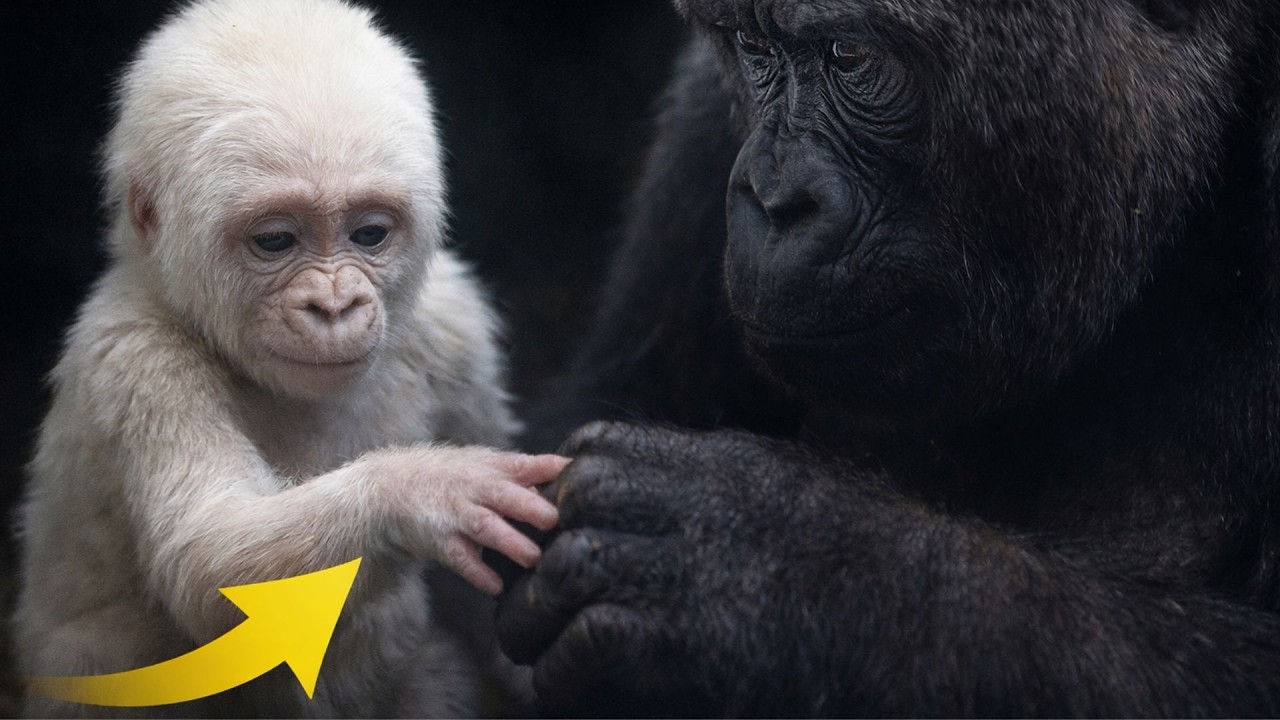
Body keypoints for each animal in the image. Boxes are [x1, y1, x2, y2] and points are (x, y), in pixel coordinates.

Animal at [12, 0, 560, 716]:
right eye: (275, 241)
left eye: (369, 234)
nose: (333, 306)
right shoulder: (135, 358)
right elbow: (211, 559)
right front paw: (422, 490)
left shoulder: (455, 324)